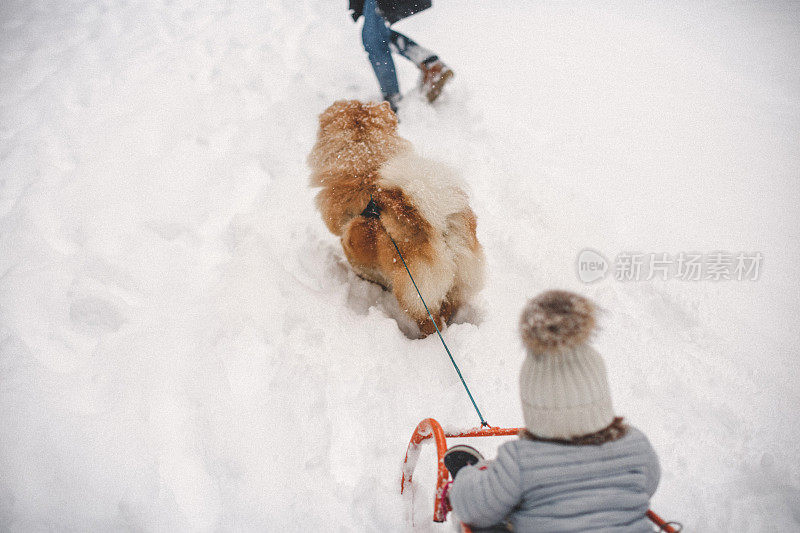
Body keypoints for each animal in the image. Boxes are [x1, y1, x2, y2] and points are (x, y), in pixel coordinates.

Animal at [306, 99, 484, 332]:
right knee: (449, 307)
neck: (365, 168)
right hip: (459, 282)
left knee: (430, 321)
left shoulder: (354, 248)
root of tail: (443, 230)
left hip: (415, 293)